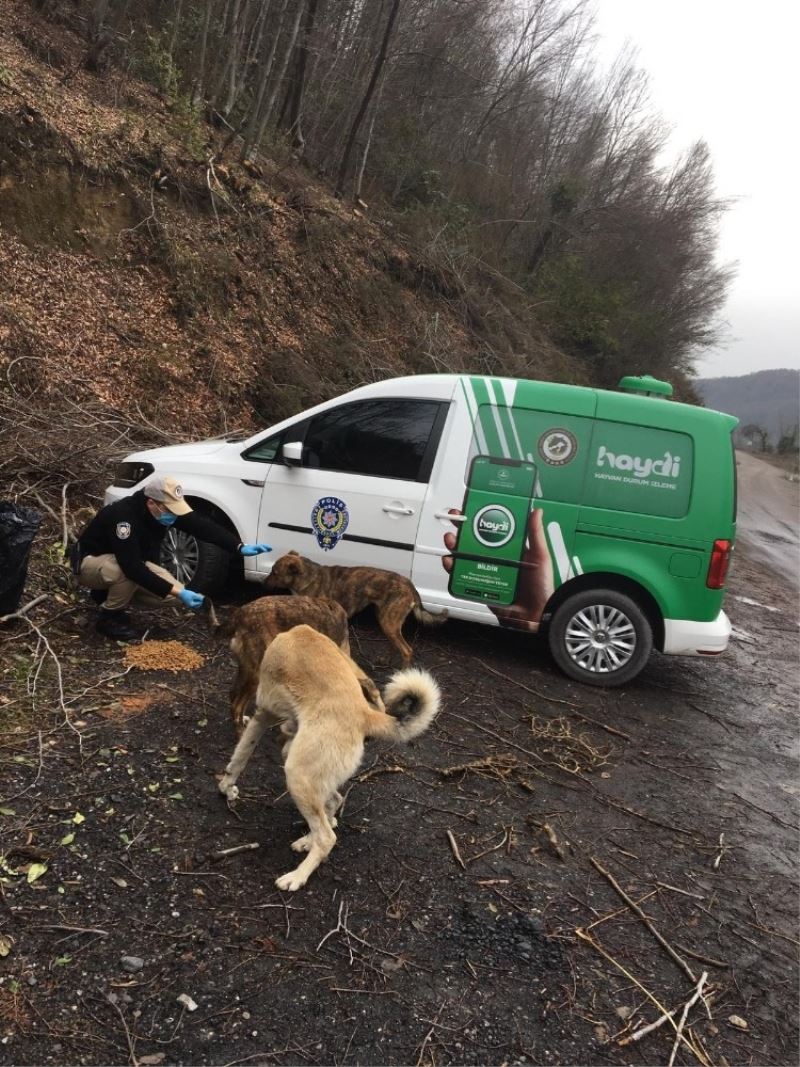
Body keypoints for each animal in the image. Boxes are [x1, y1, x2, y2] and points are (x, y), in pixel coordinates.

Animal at [204, 593, 384, 734]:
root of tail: (240, 614)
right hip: (256, 673)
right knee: (237, 705)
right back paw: (241, 733)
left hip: (246, 668)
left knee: (233, 694)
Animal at [216, 623, 441, 892]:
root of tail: (366, 715)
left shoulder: (263, 714)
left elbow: (239, 757)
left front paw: (226, 787)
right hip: (306, 769)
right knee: (333, 803)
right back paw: (307, 840)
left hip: (298, 775)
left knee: (327, 836)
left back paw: (297, 875)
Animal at [267, 550, 445, 665]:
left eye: (275, 572)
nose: (264, 582)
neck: (308, 577)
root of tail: (410, 585)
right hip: (386, 620)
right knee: (396, 644)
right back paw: (385, 660)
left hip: (388, 622)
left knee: (407, 651)